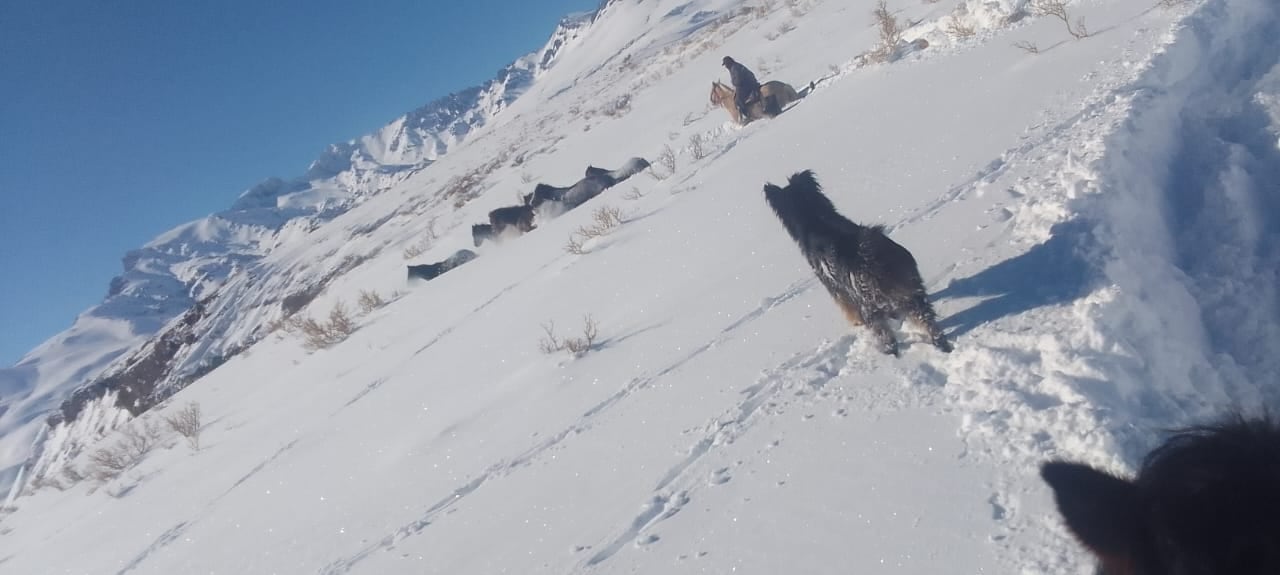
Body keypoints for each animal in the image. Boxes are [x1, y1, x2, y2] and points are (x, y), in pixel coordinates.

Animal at [757, 169, 952, 353]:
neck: (814, 218)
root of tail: (871, 256)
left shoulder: (836, 289)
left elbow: (848, 309)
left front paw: (857, 323)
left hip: (868, 302)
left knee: (884, 333)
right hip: (912, 288)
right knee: (928, 321)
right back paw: (941, 344)